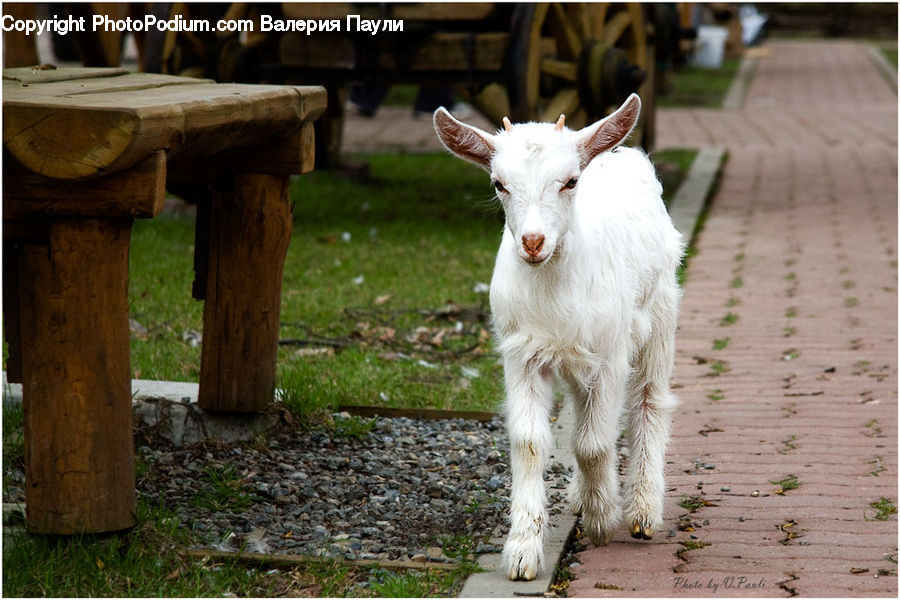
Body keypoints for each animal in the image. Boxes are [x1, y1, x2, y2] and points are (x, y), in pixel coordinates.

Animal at [433, 94, 684, 581]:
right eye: (498, 184)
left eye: (569, 182)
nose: (533, 242)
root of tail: (619, 153)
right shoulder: (522, 354)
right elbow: (532, 442)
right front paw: (522, 551)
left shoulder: (609, 355)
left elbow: (593, 442)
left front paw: (603, 518)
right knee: (580, 409)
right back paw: (581, 496)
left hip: (659, 318)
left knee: (648, 401)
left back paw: (643, 511)